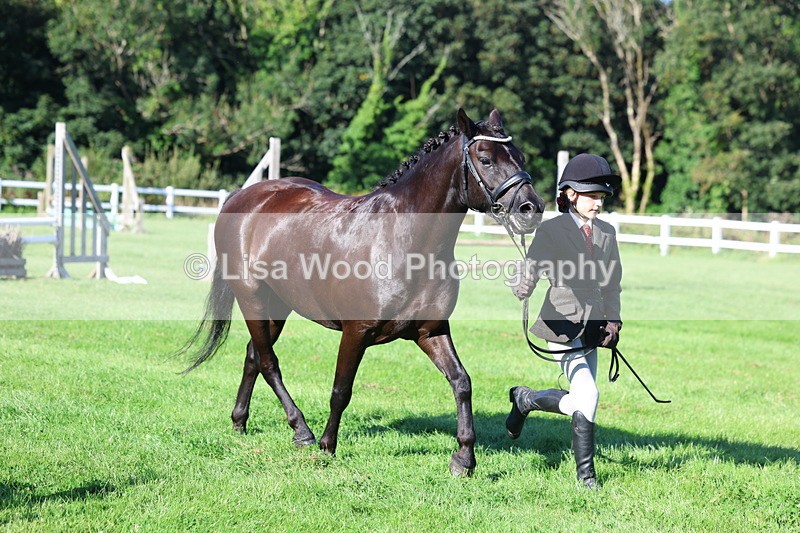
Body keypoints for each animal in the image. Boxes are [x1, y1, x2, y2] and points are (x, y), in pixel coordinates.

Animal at [180, 108, 545, 476]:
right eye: (485, 159)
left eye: (520, 157)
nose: (532, 208)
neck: (403, 240)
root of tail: (242, 198)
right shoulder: (355, 333)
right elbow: (341, 390)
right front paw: (327, 446)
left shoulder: (432, 331)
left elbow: (462, 382)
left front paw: (464, 457)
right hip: (252, 299)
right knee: (268, 362)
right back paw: (301, 430)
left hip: (278, 306)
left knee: (253, 355)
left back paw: (240, 422)